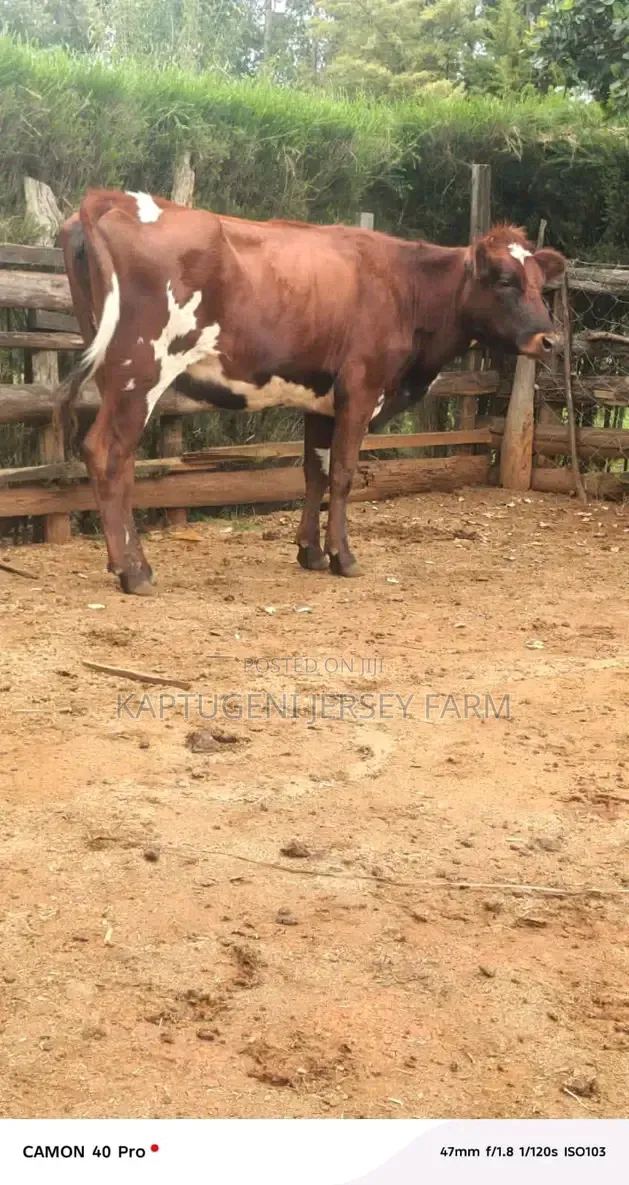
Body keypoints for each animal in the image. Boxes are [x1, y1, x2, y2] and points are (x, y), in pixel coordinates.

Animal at [55, 189, 566, 595]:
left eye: (542, 284)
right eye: (505, 281)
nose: (551, 340)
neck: (406, 285)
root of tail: (116, 198)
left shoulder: (321, 399)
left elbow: (314, 473)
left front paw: (312, 553)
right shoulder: (360, 389)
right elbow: (342, 473)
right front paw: (344, 557)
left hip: (112, 371)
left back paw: (121, 564)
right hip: (140, 372)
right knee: (110, 455)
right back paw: (134, 571)